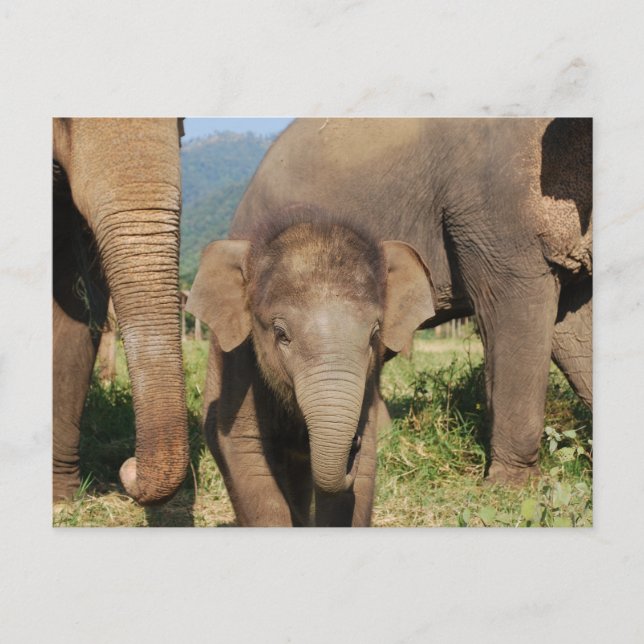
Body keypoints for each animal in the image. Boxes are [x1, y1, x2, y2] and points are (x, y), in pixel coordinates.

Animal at [188, 117, 592, 525]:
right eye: (279, 334)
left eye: (374, 332)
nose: (352, 445)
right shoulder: (489, 203)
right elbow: (517, 304)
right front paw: (512, 489)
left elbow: (574, 325)